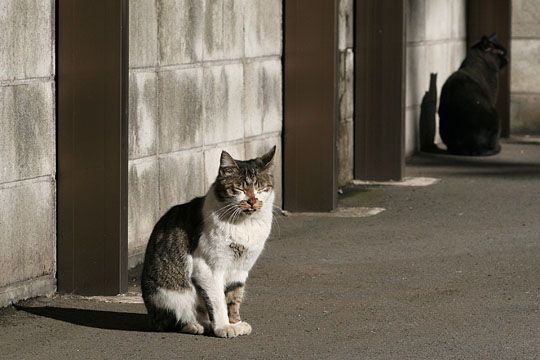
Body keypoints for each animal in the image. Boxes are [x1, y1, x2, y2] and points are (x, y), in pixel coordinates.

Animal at [141, 146, 276, 338]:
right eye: (239, 189)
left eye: (261, 188)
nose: (252, 201)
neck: (244, 225)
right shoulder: (207, 268)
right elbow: (218, 301)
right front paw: (224, 327)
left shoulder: (240, 269)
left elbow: (234, 297)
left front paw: (235, 323)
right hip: (170, 295)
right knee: (170, 320)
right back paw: (196, 325)